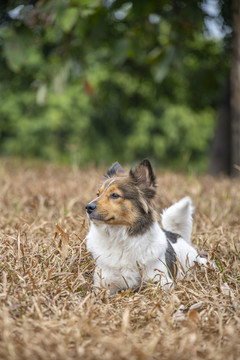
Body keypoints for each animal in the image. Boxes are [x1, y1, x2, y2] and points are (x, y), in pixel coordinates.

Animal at [86, 159, 210, 294]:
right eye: (98, 194)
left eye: (114, 195)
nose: (88, 207)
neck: (119, 238)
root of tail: (174, 234)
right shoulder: (103, 284)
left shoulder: (163, 281)